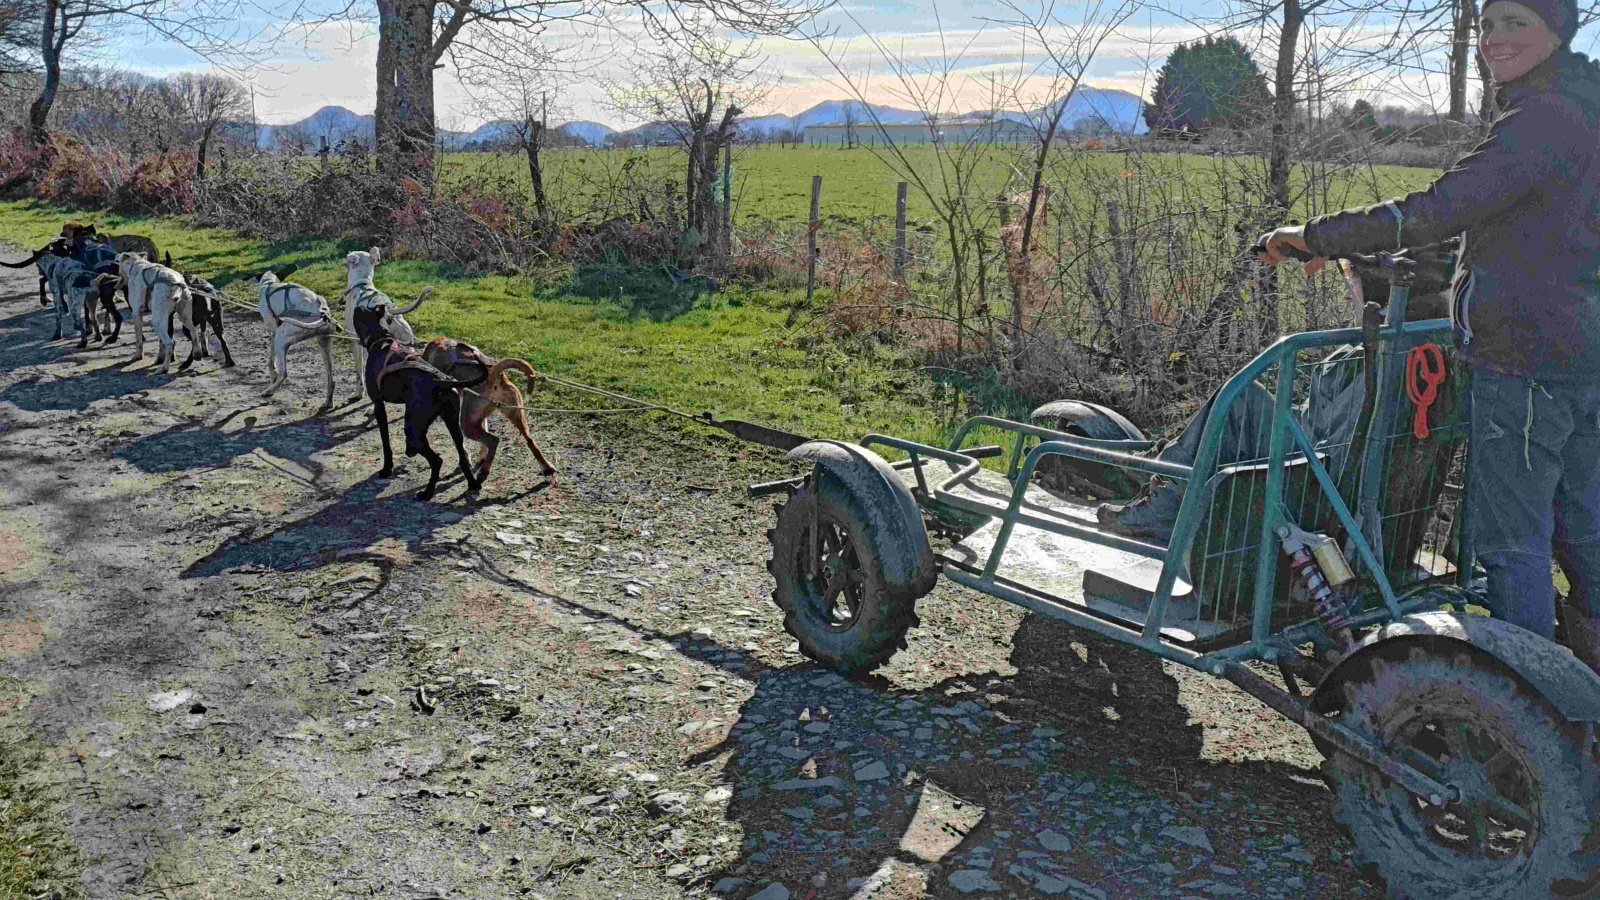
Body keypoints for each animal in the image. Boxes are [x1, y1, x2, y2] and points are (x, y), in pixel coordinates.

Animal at [256, 265, 337, 406]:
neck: (270, 283)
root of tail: (321, 312)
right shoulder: (274, 334)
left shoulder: (273, 332)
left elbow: (271, 361)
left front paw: (273, 375)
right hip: (324, 344)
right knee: (331, 380)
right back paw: (328, 401)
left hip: (281, 338)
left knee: (284, 374)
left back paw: (270, 391)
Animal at [342, 245, 432, 398]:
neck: (362, 283)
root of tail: (391, 313)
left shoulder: (355, 341)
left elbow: (359, 372)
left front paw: (359, 392)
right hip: (408, 347)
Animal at [353, 301, 489, 496]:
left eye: (357, 312)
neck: (380, 339)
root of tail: (442, 382)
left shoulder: (379, 405)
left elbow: (385, 442)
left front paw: (387, 469)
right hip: (451, 424)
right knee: (461, 455)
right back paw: (472, 484)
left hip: (413, 430)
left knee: (437, 461)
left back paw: (428, 492)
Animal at [422, 334, 560, 477]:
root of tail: (493, 374)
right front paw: (480, 458)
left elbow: (460, 443)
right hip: (515, 415)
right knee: (529, 440)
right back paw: (546, 466)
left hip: (467, 425)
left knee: (494, 440)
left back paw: (485, 470)